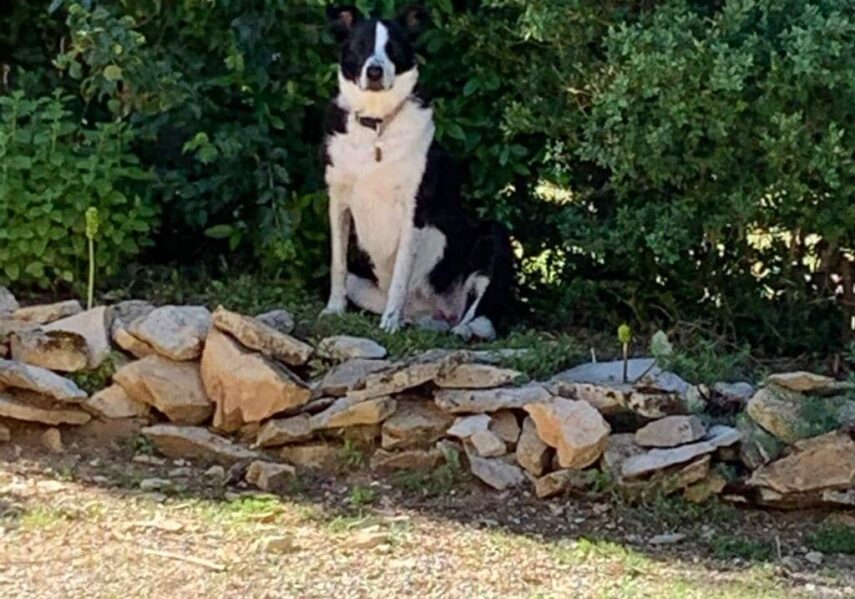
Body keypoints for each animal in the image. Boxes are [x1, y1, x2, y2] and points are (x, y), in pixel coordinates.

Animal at [320, 3, 512, 342]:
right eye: (360, 45)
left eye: (392, 47)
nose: (374, 71)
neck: (378, 125)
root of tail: (442, 311)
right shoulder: (338, 200)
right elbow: (337, 264)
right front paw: (334, 309)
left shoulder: (414, 208)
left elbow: (400, 272)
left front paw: (390, 323)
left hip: (496, 238)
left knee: (482, 315)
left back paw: (462, 329)